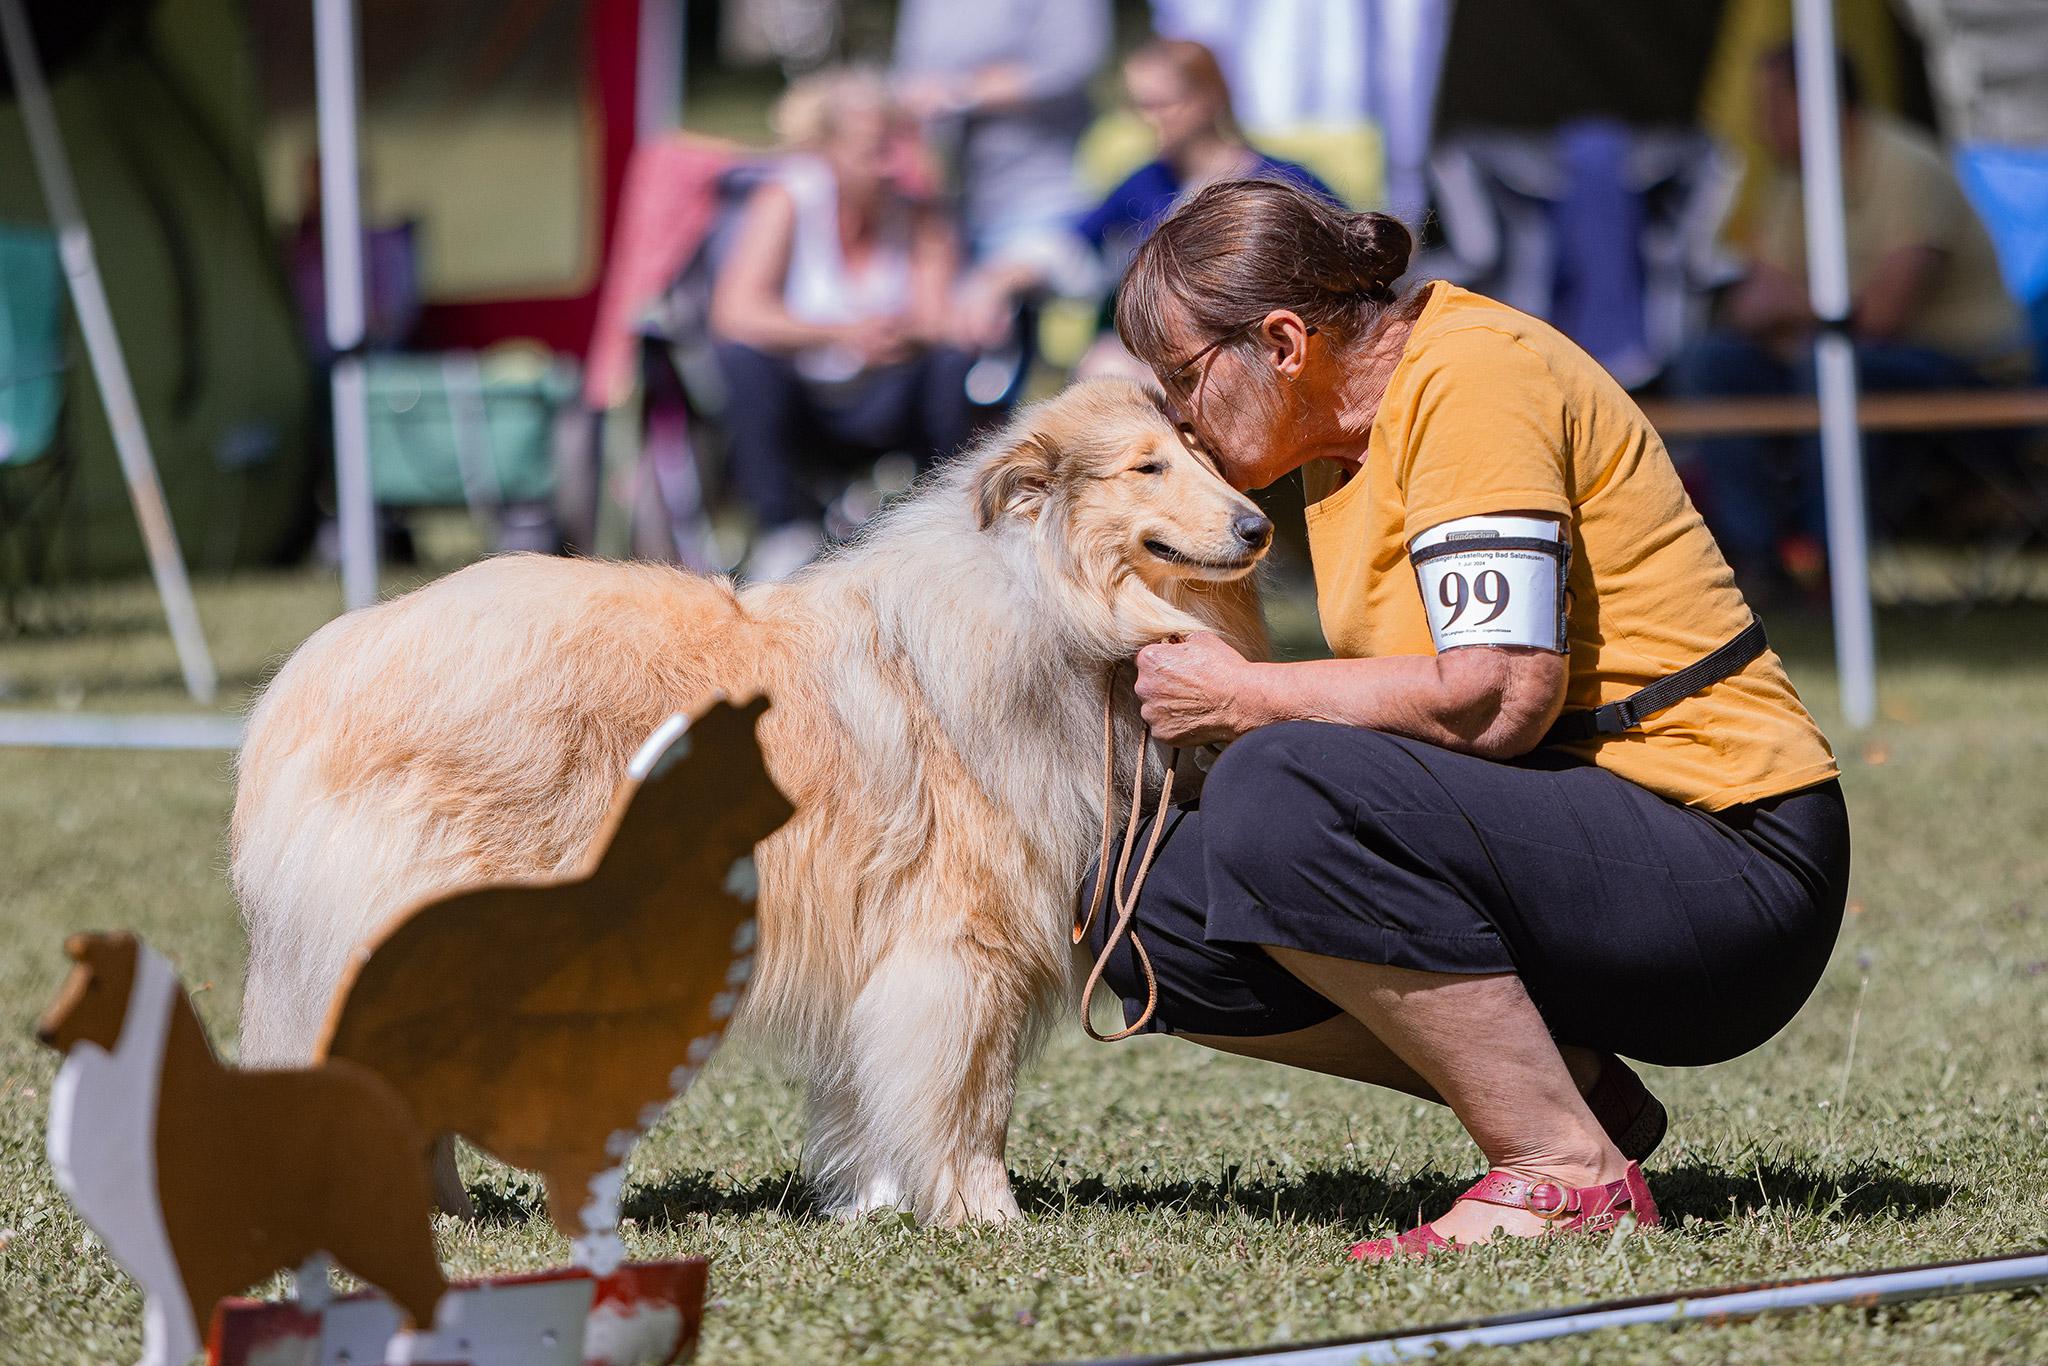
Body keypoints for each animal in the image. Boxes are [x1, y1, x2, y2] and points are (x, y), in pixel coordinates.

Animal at [235, 376, 1261, 1228]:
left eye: (1201, 452)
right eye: (1148, 466)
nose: (1259, 528)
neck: (1038, 598)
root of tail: (326, 664)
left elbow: (868, 1098)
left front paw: (870, 1205)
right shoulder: (963, 949)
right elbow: (970, 1101)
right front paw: (985, 1216)